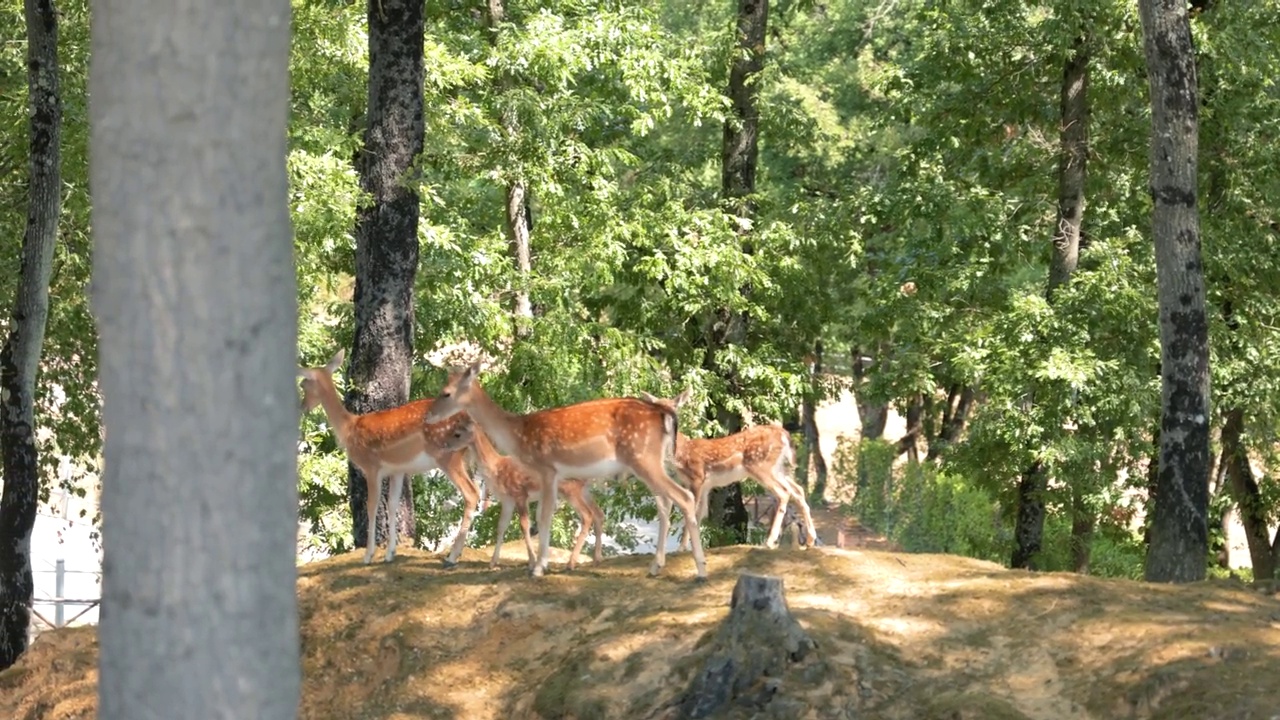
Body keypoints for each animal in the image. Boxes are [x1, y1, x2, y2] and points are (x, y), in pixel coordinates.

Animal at [294, 348, 481, 566]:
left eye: (303, 384)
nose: (302, 407)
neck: (349, 429)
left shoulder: (371, 466)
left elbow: (372, 506)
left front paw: (368, 555)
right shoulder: (397, 470)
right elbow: (392, 506)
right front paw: (390, 553)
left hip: (447, 455)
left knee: (472, 493)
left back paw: (452, 556)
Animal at [437, 422, 606, 568]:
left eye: (457, 434)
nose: (444, 445)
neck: (497, 468)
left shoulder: (520, 493)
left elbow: (524, 525)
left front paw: (531, 561)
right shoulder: (507, 500)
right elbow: (501, 526)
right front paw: (493, 562)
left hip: (571, 490)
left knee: (588, 515)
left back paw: (571, 563)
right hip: (584, 491)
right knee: (599, 513)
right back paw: (596, 559)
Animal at [637, 392, 819, 548]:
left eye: (674, 407)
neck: (681, 453)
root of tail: (784, 435)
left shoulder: (697, 477)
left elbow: (691, 512)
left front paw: (682, 548)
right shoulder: (704, 485)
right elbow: (700, 514)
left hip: (760, 465)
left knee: (784, 492)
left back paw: (769, 541)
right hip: (780, 469)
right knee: (798, 490)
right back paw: (810, 540)